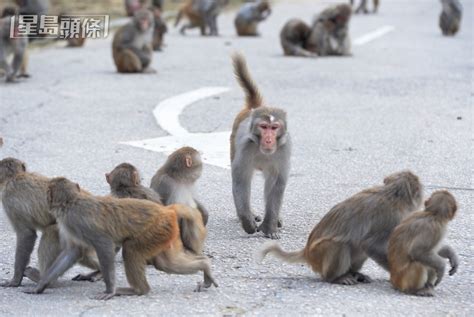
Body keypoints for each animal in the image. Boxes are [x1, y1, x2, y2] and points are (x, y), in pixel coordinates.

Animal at [0, 157, 99, 288]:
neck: (14, 176)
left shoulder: (9, 200)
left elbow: (26, 234)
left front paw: (15, 280)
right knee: (82, 255)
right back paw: (99, 271)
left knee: (51, 230)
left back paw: (44, 280)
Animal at [26, 178, 216, 298]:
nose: (45, 199)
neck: (71, 202)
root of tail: (166, 210)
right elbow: (72, 252)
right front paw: (41, 285)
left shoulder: (76, 220)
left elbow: (104, 245)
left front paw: (110, 290)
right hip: (165, 234)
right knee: (165, 263)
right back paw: (205, 265)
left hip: (155, 230)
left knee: (131, 250)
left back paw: (139, 290)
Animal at [229, 53, 290, 238]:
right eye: (263, 127)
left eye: (274, 127)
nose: (269, 139)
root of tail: (253, 107)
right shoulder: (244, 149)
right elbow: (241, 180)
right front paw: (248, 222)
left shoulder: (284, 150)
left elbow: (277, 183)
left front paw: (269, 226)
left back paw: (276, 219)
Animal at [262, 170, 424, 284]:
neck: (391, 194)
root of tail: (307, 252)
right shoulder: (391, 218)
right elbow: (371, 244)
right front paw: (397, 272)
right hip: (319, 255)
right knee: (338, 246)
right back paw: (335, 278)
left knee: (358, 248)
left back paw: (353, 273)